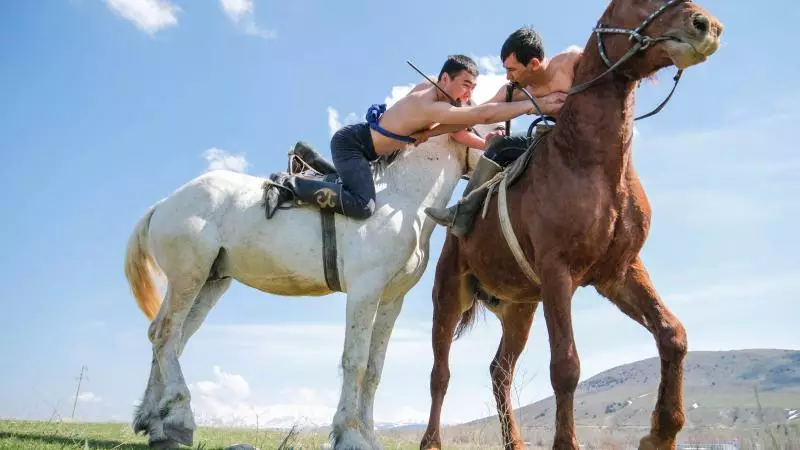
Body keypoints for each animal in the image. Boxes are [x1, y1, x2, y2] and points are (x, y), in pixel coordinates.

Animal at [120, 132, 482, 448]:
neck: (402, 199)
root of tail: (163, 204)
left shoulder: (391, 300)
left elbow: (374, 369)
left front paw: (369, 437)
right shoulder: (365, 291)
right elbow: (356, 361)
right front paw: (350, 436)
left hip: (210, 282)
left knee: (169, 337)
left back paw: (154, 422)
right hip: (188, 277)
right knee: (166, 334)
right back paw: (179, 418)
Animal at [418, 0, 724, 450]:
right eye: (634, 3)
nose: (705, 25)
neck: (589, 162)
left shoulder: (619, 273)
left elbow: (672, 335)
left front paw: (661, 433)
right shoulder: (558, 273)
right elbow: (566, 366)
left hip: (520, 308)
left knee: (499, 370)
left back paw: (515, 442)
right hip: (450, 294)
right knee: (440, 374)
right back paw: (431, 440)